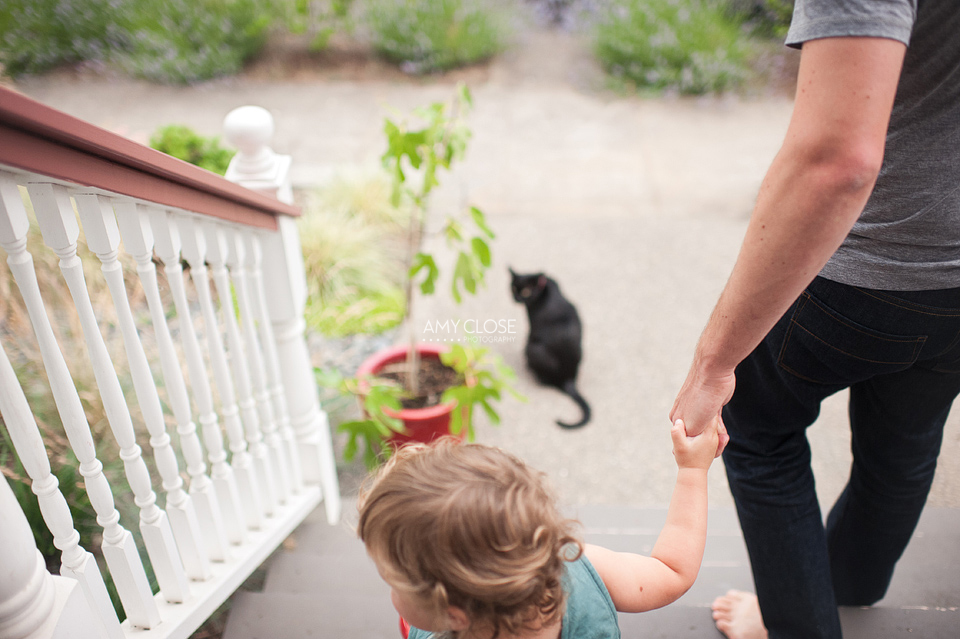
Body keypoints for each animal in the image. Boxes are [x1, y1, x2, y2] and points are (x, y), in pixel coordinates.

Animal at [510, 268, 584, 428]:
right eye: (513, 288)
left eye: (526, 292)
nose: (516, 298)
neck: (545, 287)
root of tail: (568, 379)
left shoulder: (533, 326)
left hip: (533, 349)